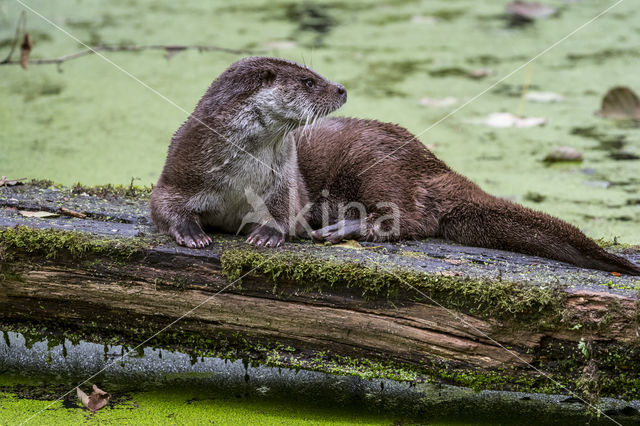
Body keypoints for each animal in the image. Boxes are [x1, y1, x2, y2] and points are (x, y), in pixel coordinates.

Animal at [149, 58, 344, 248]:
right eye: (309, 82)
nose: (341, 89)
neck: (239, 183)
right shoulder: (180, 169)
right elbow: (161, 203)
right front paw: (190, 232)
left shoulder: (287, 179)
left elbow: (291, 211)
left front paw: (267, 233)